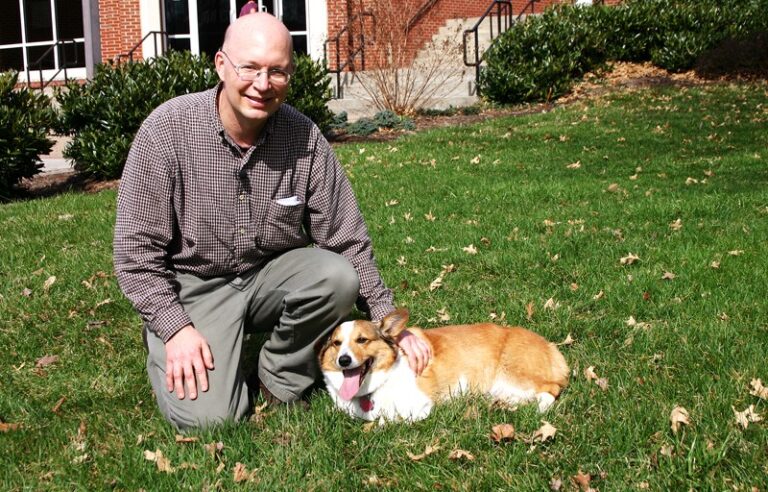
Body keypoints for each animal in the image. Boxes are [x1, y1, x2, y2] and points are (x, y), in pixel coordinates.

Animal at [318, 310, 568, 420]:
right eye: (336, 343)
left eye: (362, 340)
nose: (344, 360)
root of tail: (550, 346)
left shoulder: (417, 405)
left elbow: (387, 419)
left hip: (515, 374)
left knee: (550, 389)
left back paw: (540, 409)